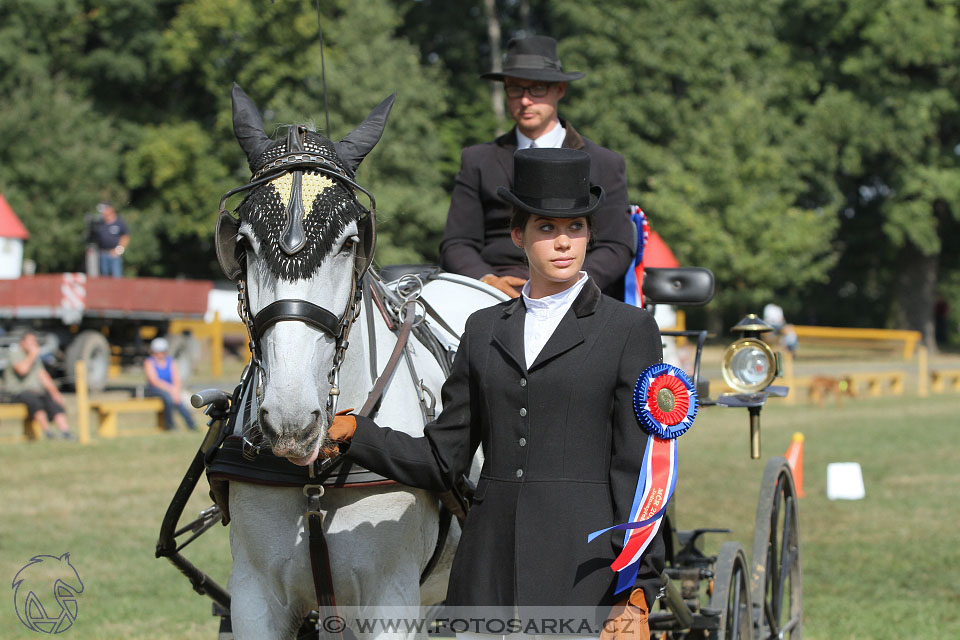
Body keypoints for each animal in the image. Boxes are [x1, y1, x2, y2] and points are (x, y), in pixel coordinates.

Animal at [216, 86, 502, 640]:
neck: (313, 476)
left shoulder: (391, 600)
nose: (290, 419)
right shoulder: (255, 597)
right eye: (241, 243)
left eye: (351, 241)